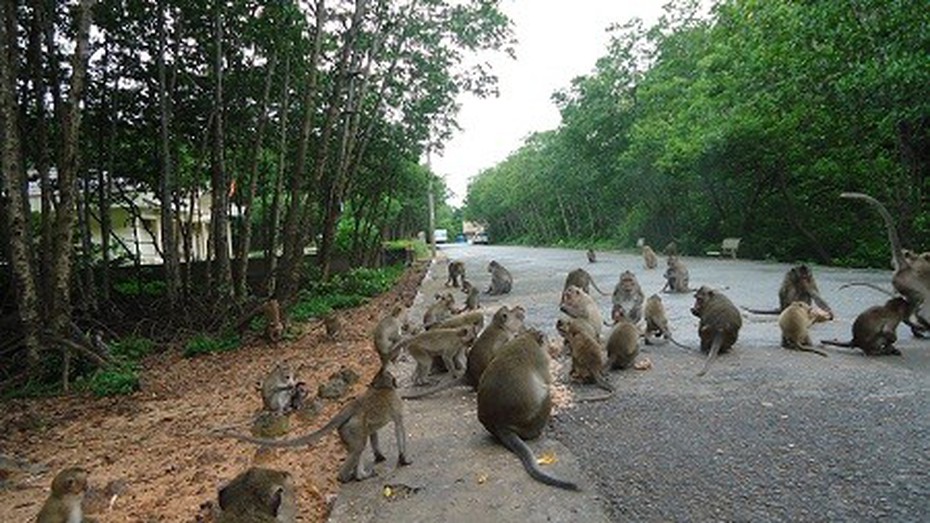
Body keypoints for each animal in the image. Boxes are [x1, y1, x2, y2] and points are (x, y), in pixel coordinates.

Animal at [219, 366, 412, 486]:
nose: (396, 382)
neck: (382, 387)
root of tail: (350, 407)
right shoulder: (397, 406)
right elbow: (399, 427)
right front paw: (404, 459)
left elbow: (373, 433)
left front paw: (379, 456)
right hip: (352, 427)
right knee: (358, 448)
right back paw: (347, 477)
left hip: (348, 428)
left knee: (359, 446)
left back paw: (358, 475)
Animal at [474, 330, 576, 494]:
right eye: (548, 340)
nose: (554, 347)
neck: (527, 337)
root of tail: (500, 423)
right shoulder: (543, 359)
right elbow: (548, 381)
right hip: (532, 422)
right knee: (546, 394)